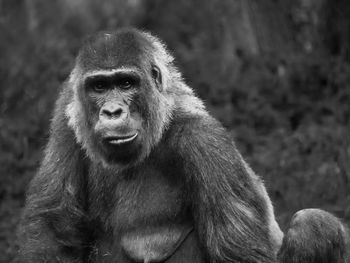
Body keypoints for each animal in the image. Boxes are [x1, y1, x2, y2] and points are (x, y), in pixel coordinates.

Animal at [17, 27, 350, 262]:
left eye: (126, 83)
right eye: (99, 86)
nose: (112, 112)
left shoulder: (204, 141)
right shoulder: (67, 109)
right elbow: (54, 228)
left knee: (313, 224)